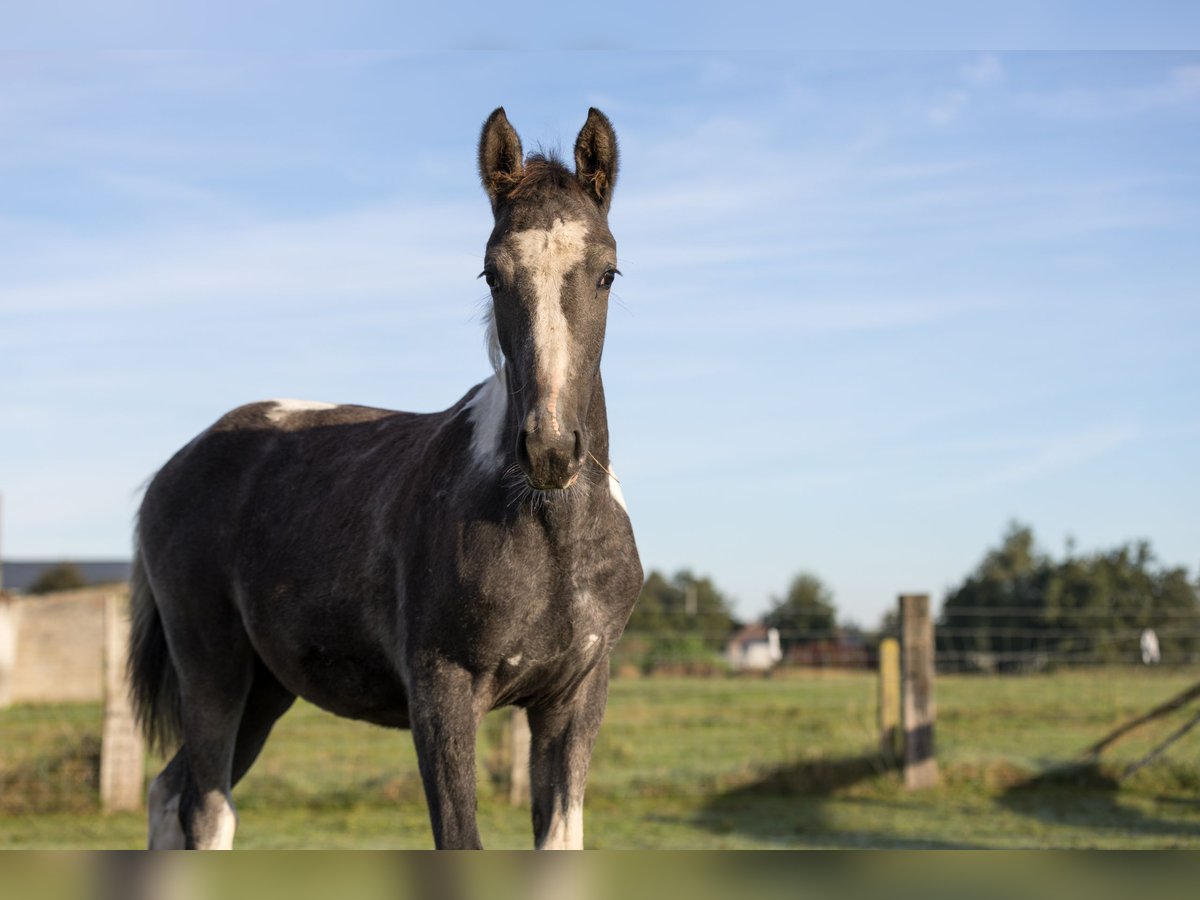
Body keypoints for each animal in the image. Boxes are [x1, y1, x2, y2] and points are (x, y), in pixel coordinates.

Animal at [126, 109, 643, 849]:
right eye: (492, 274)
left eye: (607, 272)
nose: (549, 448)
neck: (552, 536)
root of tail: (173, 468)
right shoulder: (441, 694)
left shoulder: (574, 697)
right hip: (212, 667)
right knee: (206, 806)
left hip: (266, 688)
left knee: (170, 791)